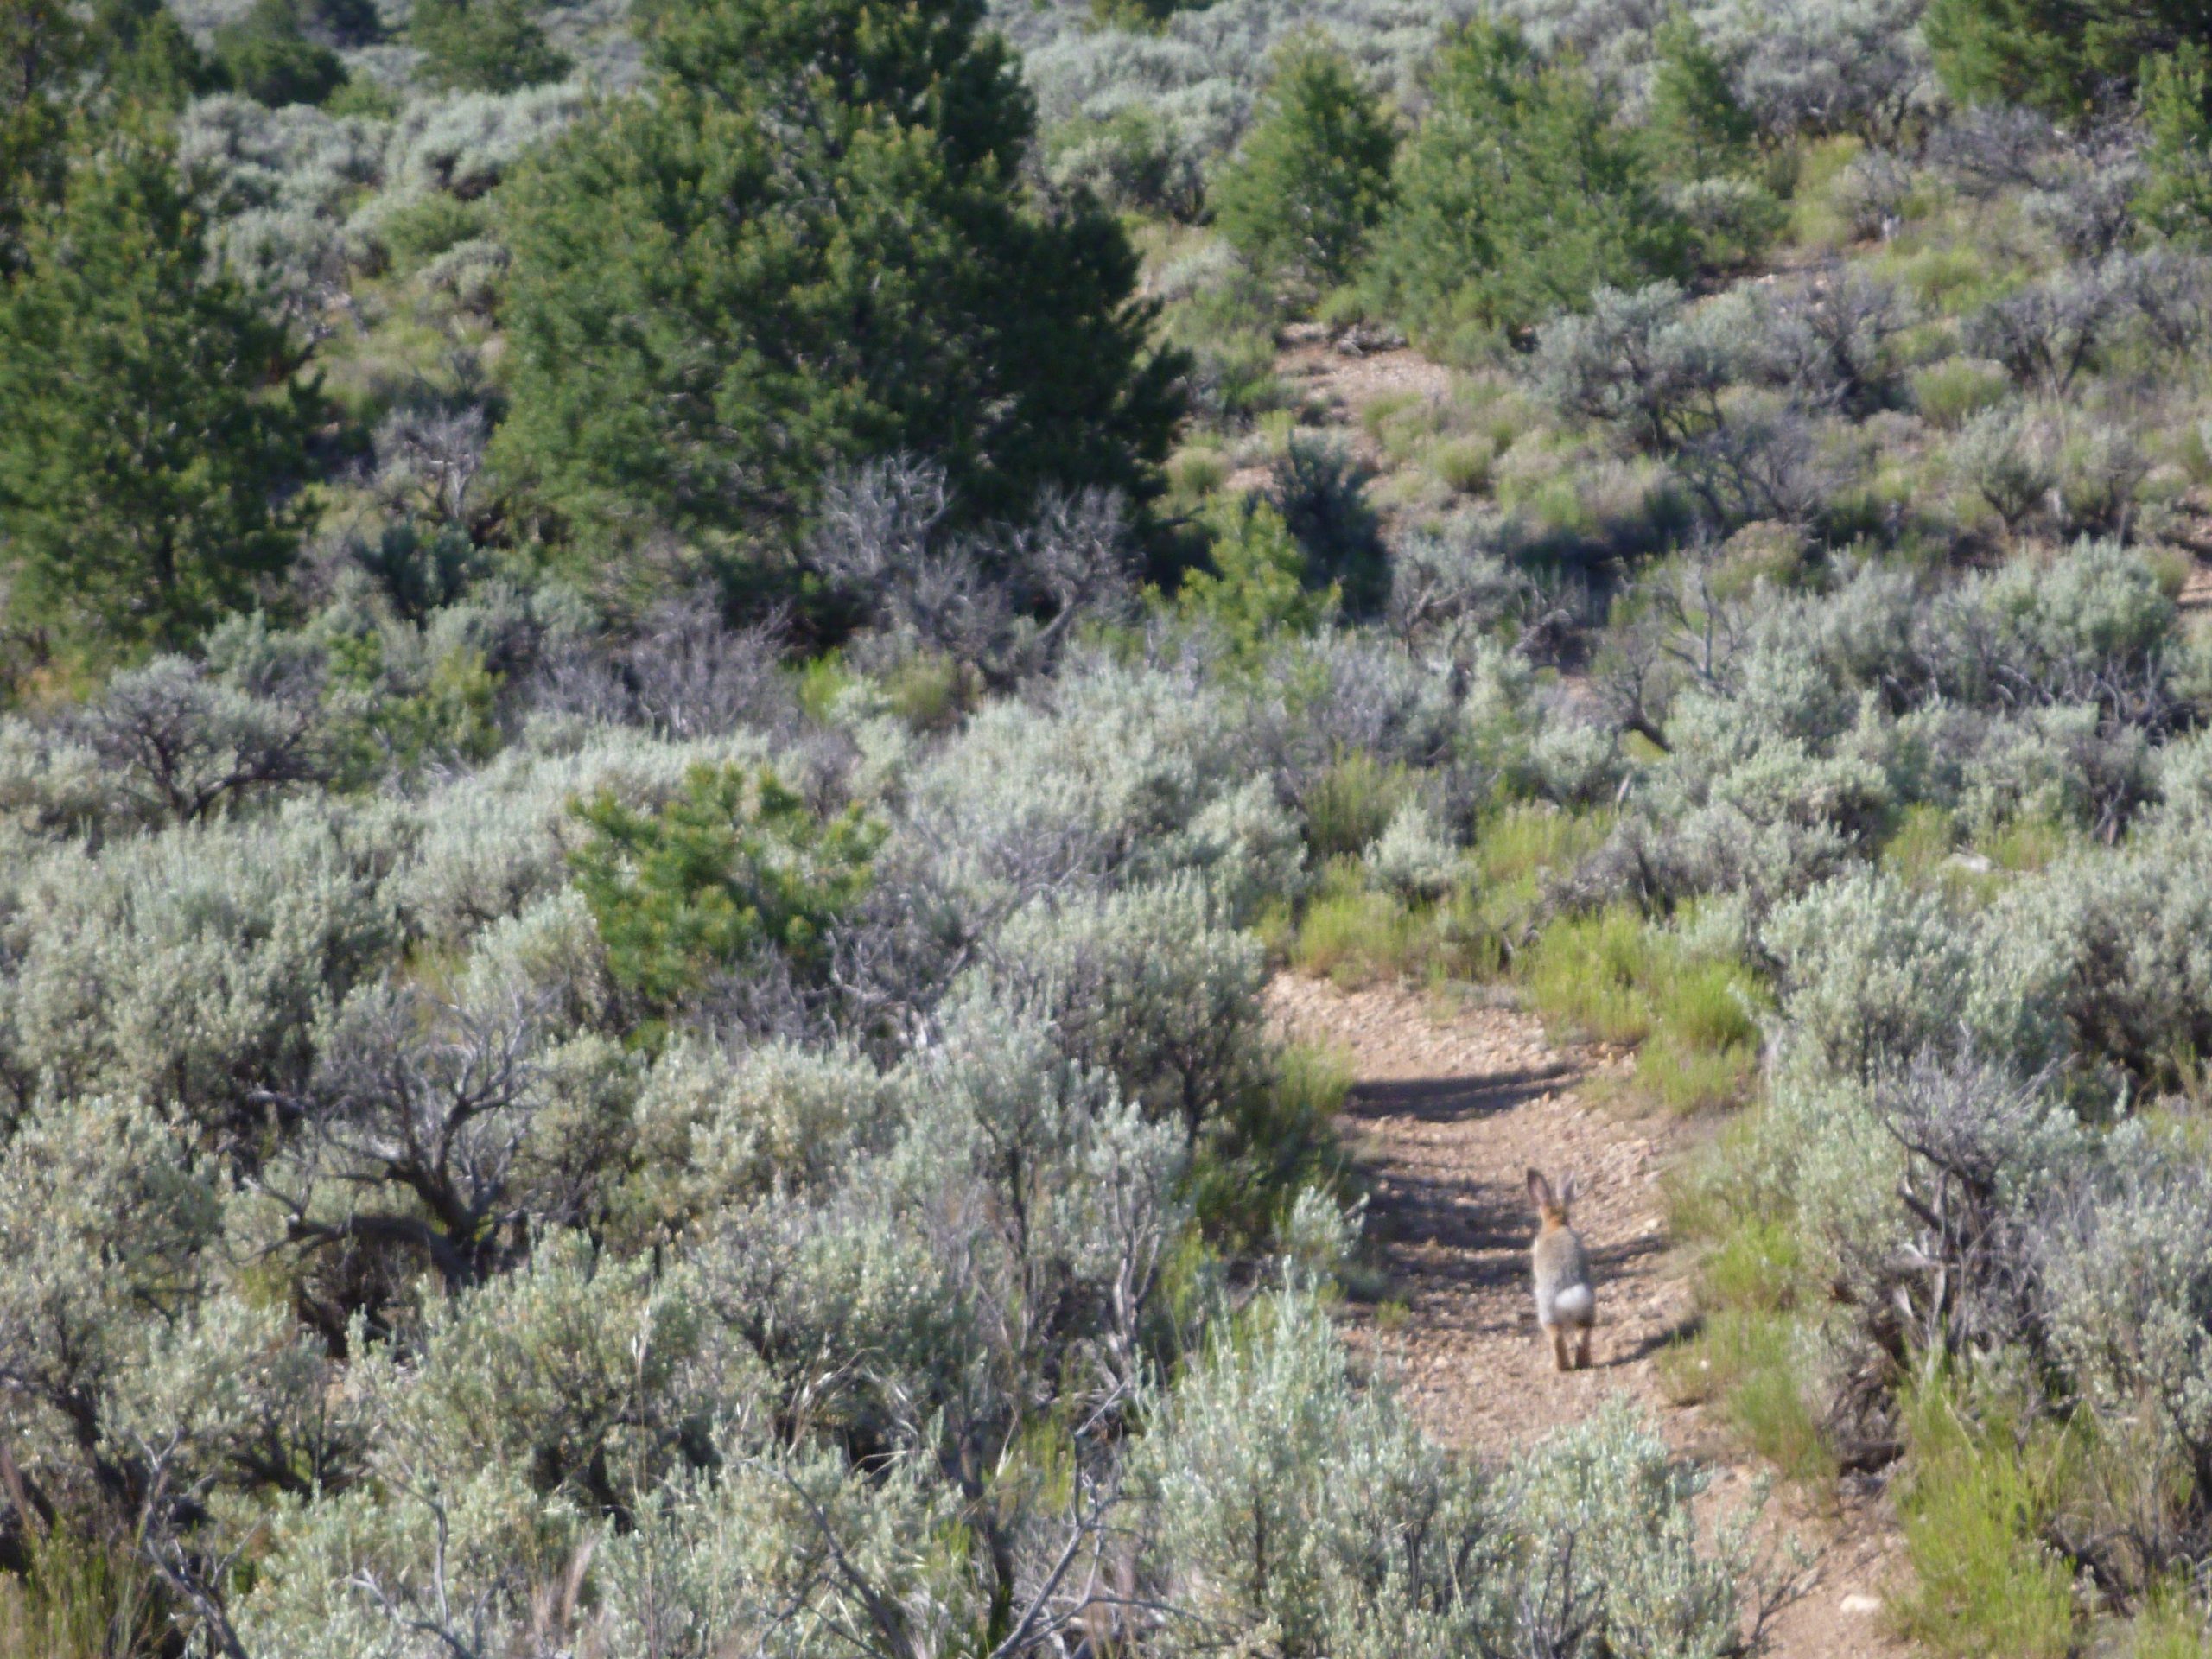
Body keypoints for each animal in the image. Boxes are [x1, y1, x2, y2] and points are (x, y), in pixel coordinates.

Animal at [1526, 1168, 1594, 1372]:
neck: (1556, 1224)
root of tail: (1569, 1295)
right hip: (1587, 1313)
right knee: (1584, 1334)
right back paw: (1583, 1363)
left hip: (1547, 1314)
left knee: (1556, 1337)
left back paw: (1558, 1367)